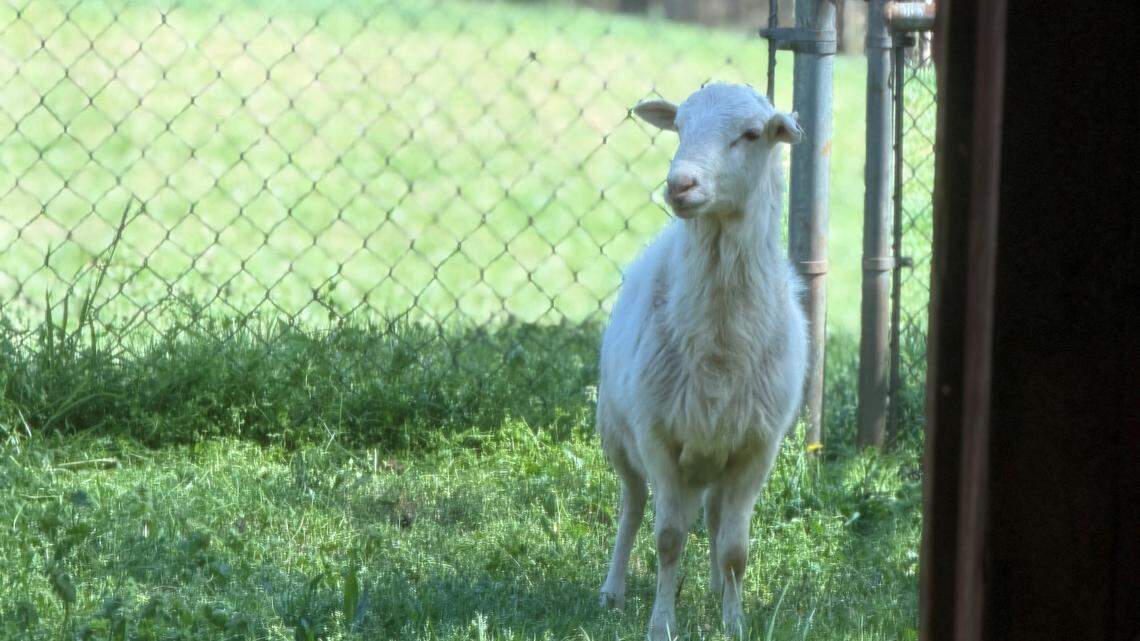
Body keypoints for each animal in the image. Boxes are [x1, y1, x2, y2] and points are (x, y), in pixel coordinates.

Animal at [595, 83, 807, 641]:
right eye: (680, 127)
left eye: (752, 134)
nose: (680, 184)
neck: (719, 347)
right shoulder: (657, 437)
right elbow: (668, 536)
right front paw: (661, 623)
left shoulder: (757, 447)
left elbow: (736, 549)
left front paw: (734, 621)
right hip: (617, 436)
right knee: (632, 508)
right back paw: (612, 592)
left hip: (718, 449)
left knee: (713, 517)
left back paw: (714, 590)